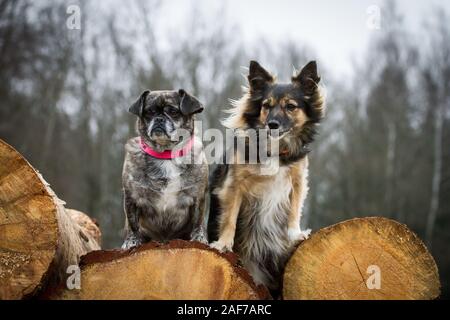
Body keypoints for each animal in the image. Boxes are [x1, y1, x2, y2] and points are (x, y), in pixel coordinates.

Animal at [122, 89, 208, 249]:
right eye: (149, 112)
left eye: (173, 111)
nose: (159, 119)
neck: (166, 154)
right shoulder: (132, 197)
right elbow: (132, 223)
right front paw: (131, 241)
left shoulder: (198, 197)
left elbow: (198, 221)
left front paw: (199, 238)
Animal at [209, 60, 326, 292]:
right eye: (266, 106)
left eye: (291, 107)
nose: (272, 124)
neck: (275, 149)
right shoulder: (233, 185)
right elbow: (229, 218)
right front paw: (224, 243)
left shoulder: (298, 180)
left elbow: (294, 211)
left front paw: (295, 233)